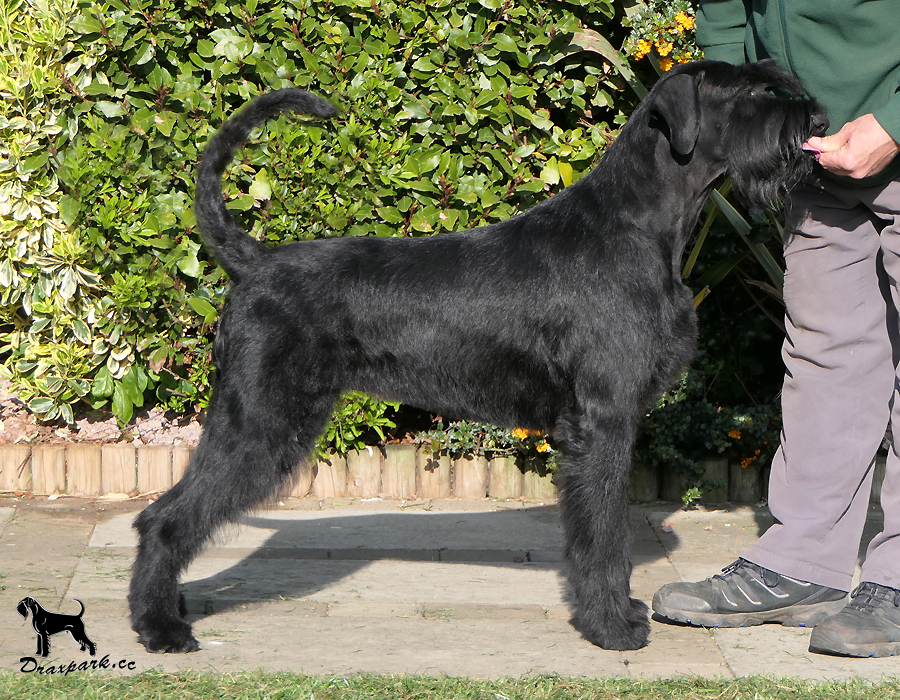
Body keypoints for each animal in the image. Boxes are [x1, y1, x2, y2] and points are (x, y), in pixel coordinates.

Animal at [128, 59, 827, 653]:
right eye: (751, 92)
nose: (818, 121)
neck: (639, 222)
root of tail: (255, 261)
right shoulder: (602, 422)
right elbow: (603, 533)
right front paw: (612, 627)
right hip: (262, 421)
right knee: (164, 519)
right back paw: (162, 629)